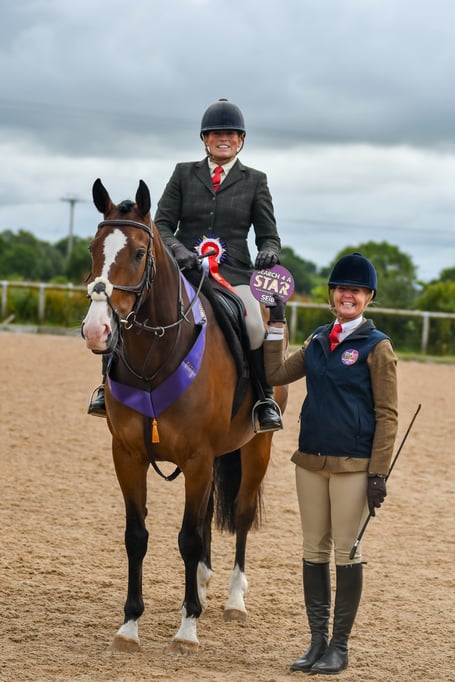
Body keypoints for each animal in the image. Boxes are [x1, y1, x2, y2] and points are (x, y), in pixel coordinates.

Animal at [81, 178, 288, 653]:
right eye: (93, 249)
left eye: (140, 252)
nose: (97, 330)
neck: (153, 355)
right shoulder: (129, 456)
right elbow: (136, 537)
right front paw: (129, 627)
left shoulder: (197, 458)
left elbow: (189, 538)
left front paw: (187, 630)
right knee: (209, 513)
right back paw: (205, 587)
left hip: (257, 446)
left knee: (241, 514)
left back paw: (232, 600)